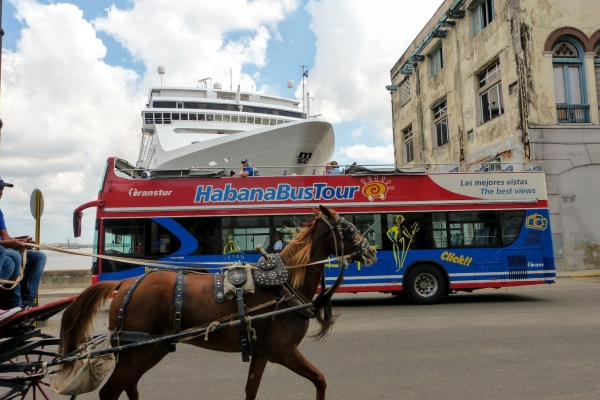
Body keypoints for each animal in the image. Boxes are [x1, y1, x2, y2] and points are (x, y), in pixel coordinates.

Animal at [57, 206, 376, 400]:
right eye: (348, 228)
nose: (371, 251)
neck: (284, 284)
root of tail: (126, 284)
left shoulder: (262, 353)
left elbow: (250, 390)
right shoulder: (284, 352)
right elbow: (320, 380)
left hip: (152, 348)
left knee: (131, 386)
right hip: (135, 351)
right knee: (110, 392)